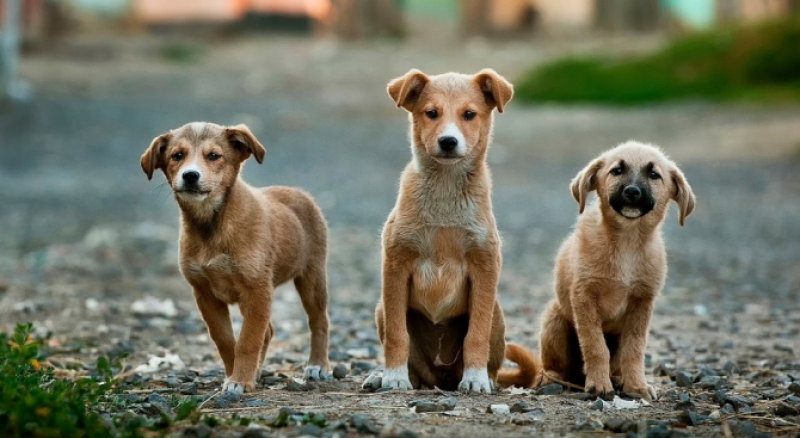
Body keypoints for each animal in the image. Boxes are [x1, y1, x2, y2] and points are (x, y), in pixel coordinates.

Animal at [141, 120, 332, 394]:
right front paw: (236, 375)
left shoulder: (257, 289)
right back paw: (259, 371)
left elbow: (248, 340)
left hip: (312, 277)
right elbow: (226, 340)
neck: (212, 226)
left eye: (214, 156)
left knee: (319, 321)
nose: (190, 175)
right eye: (177, 156)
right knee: (268, 331)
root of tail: (298, 192)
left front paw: (240, 380)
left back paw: (318, 365)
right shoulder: (205, 294)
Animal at [372, 69, 540, 394]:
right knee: (414, 366)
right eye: (431, 113)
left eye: (469, 114)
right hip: (381, 309)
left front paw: (475, 378)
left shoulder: (484, 266)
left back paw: (484, 378)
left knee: (490, 357)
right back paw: (384, 377)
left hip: (497, 314)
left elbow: (476, 334)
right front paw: (394, 376)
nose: (448, 141)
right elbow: (398, 335)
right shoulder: (396, 264)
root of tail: (441, 379)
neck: (445, 193)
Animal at [536, 142, 692, 402]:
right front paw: (599, 385)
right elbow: (595, 346)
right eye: (617, 170)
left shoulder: (642, 302)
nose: (632, 192)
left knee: (616, 362)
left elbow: (634, 349)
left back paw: (618, 379)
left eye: (654, 174)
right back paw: (550, 378)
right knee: (556, 366)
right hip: (554, 319)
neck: (627, 241)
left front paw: (636, 385)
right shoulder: (584, 297)